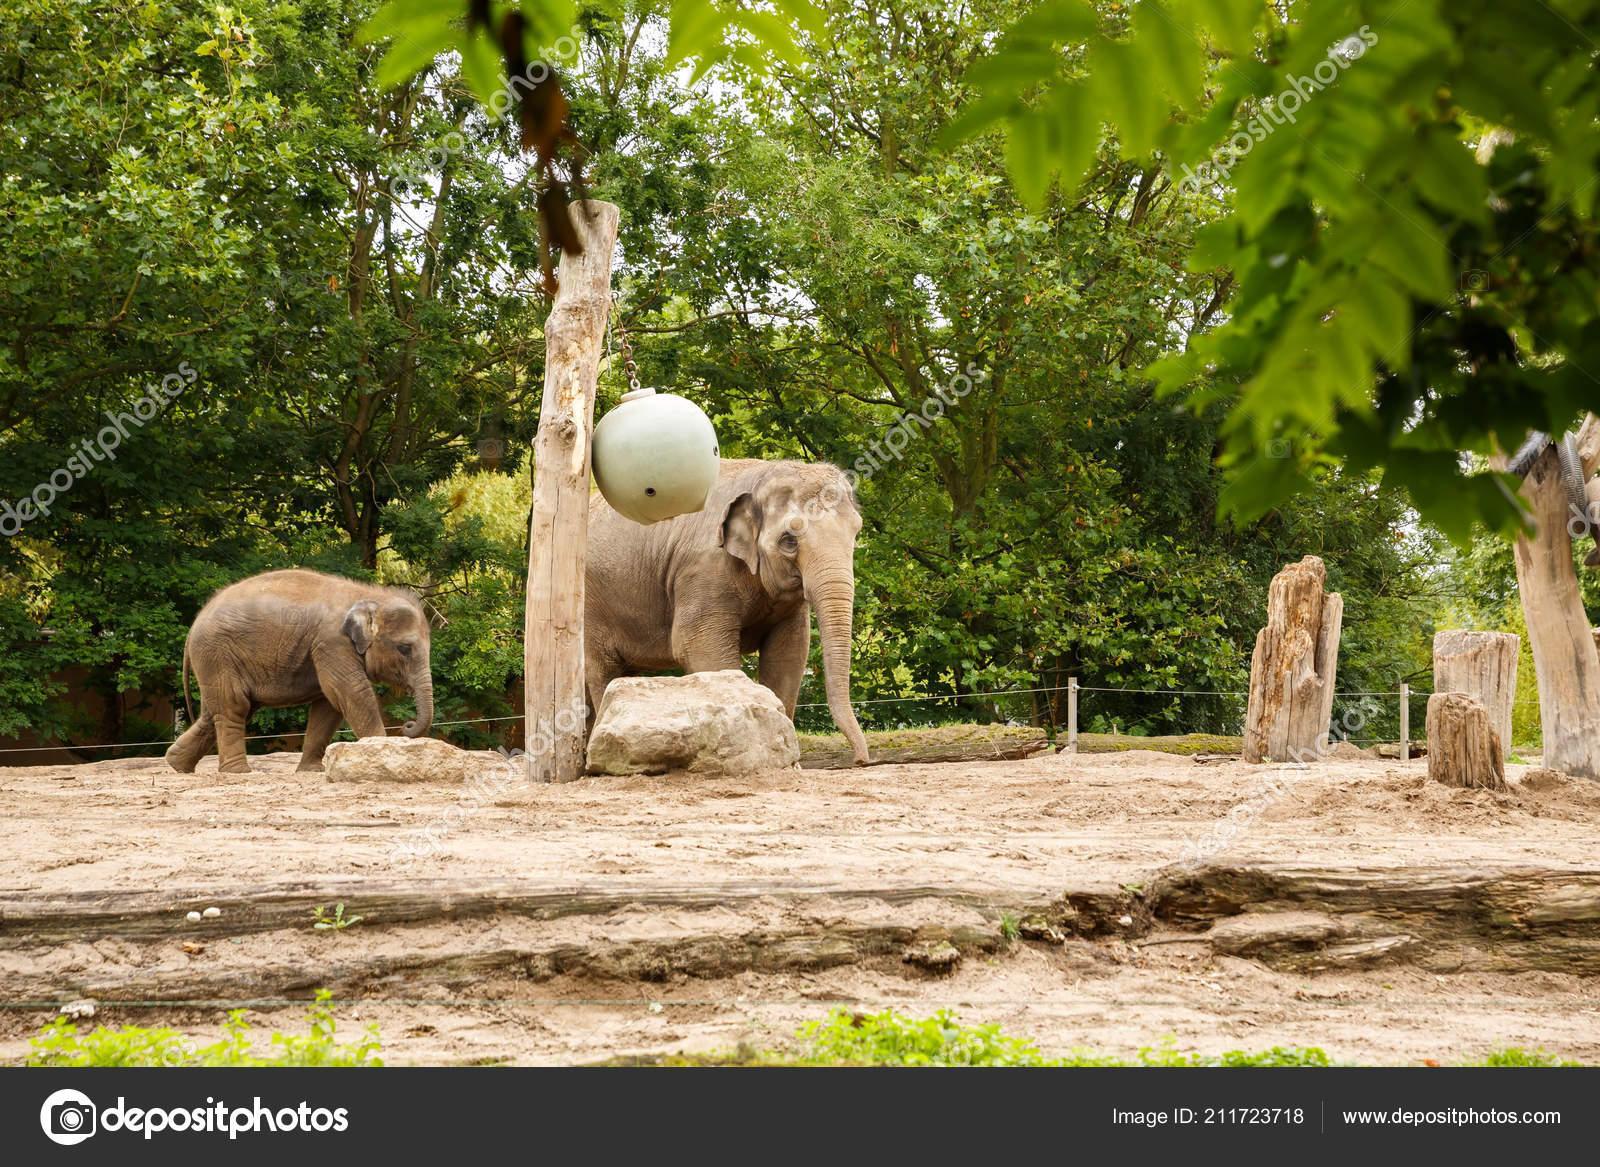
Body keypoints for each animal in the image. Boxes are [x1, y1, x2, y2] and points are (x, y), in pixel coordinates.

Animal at [164, 569, 434, 774]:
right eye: (405, 649)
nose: (408, 726)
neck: (369, 595)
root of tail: (193, 627)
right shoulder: (332, 642)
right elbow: (351, 691)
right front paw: (380, 754)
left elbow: (329, 706)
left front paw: (311, 771)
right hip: (216, 654)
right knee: (234, 705)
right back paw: (238, 772)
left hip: (216, 660)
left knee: (218, 710)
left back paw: (177, 764)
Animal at [585, 458, 872, 765]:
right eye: (789, 540)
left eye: (857, 533)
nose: (860, 760)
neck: (761, 476)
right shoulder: (702, 570)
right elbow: (699, 648)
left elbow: (789, 653)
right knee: (605, 671)